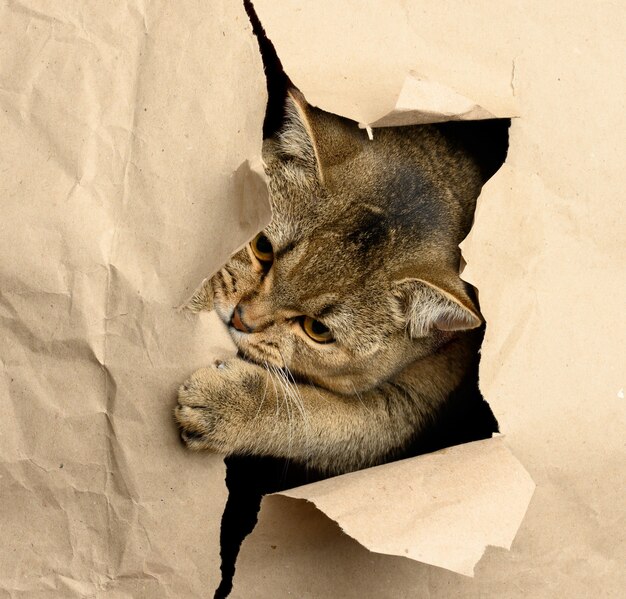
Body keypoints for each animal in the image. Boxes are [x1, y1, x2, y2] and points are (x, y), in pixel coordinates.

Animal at [173, 86, 500, 476]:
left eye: (318, 330)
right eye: (262, 247)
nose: (240, 319)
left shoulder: (400, 413)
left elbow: (311, 418)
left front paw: (230, 406)